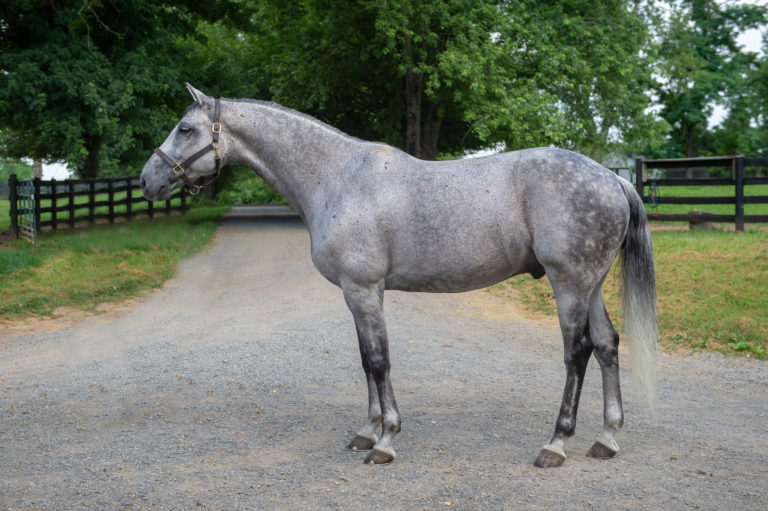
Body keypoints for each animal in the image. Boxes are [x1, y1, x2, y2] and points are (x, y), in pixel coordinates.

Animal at [141, 84, 658, 468]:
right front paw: (367, 433)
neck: (337, 177)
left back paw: (555, 444)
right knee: (607, 344)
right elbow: (365, 361)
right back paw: (606, 438)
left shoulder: (364, 289)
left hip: (568, 284)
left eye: (185, 128)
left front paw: (386, 442)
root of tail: (614, 178)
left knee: (578, 352)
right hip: (590, 285)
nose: (147, 181)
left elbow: (379, 361)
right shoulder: (357, 294)